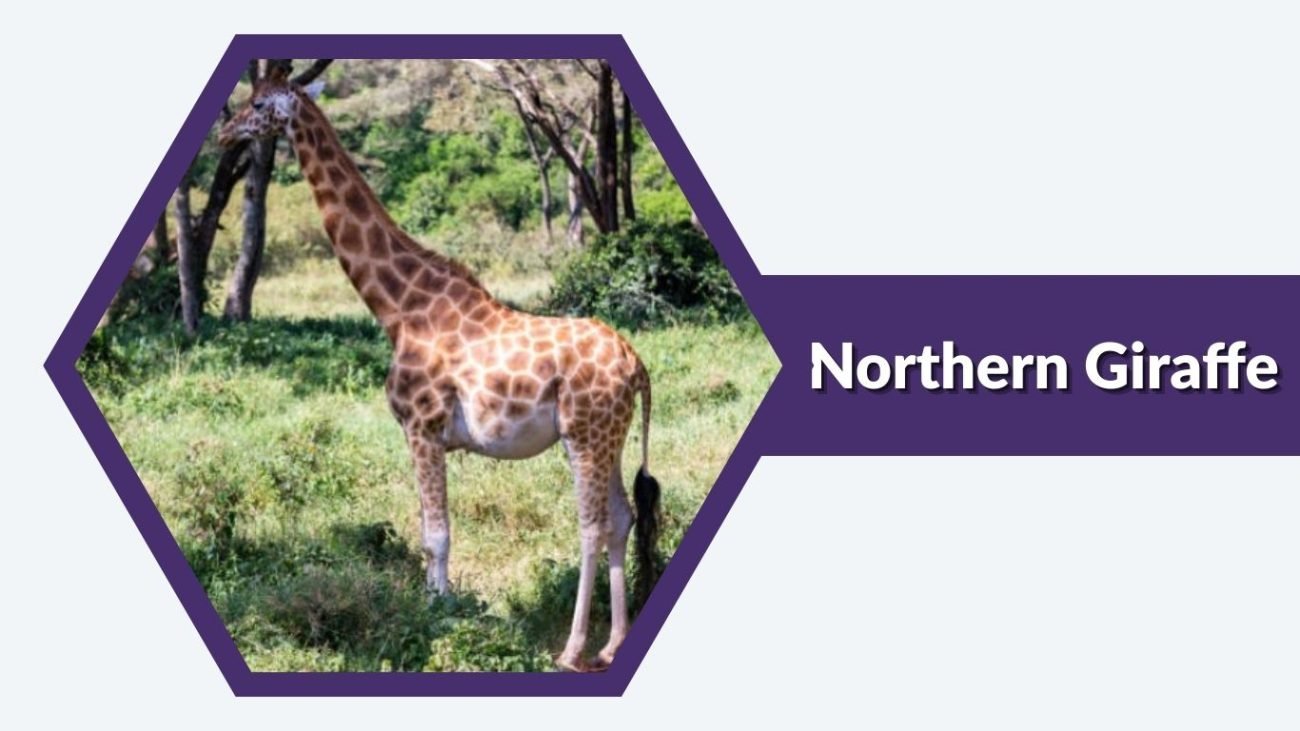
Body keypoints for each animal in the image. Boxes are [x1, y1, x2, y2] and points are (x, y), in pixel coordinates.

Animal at [218, 65, 662, 672]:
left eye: (260, 104)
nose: (224, 135)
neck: (399, 307)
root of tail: (635, 363)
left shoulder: (422, 426)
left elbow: (436, 535)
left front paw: (439, 622)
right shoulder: (424, 434)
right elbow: (430, 533)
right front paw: (440, 614)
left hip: (586, 433)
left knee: (592, 525)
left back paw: (573, 649)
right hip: (608, 436)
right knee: (622, 518)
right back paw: (613, 644)